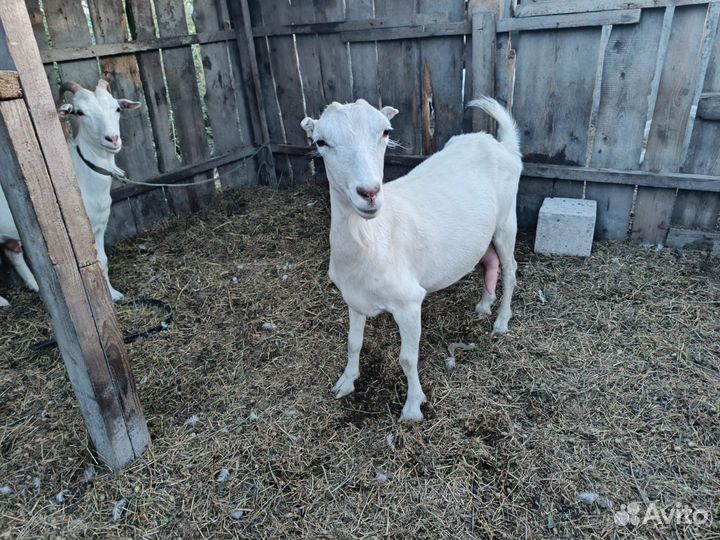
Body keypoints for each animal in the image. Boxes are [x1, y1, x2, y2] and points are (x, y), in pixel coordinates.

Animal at [0, 80, 140, 307]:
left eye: (117, 109)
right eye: (80, 112)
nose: (112, 139)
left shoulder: (100, 226)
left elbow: (103, 260)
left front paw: (114, 295)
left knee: (14, 252)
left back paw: (35, 286)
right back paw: (3, 301)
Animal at [301, 97, 522, 421]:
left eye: (385, 131)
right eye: (321, 141)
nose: (369, 192)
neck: (373, 238)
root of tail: (503, 145)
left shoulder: (408, 301)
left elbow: (407, 358)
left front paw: (413, 407)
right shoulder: (353, 297)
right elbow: (353, 343)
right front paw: (346, 382)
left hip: (507, 220)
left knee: (510, 268)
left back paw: (502, 321)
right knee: (489, 261)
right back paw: (483, 305)